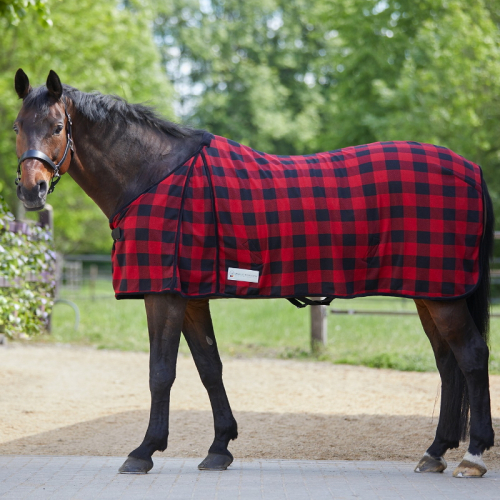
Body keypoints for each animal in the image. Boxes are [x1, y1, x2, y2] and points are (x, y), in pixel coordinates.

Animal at [12, 68, 496, 478]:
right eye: (17, 127)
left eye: (56, 127)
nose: (32, 190)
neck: (153, 175)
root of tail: (472, 170)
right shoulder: (191, 297)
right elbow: (210, 367)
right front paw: (219, 447)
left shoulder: (163, 295)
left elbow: (161, 371)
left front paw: (144, 451)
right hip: (430, 293)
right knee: (448, 363)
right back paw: (435, 452)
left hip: (444, 295)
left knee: (472, 357)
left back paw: (472, 455)